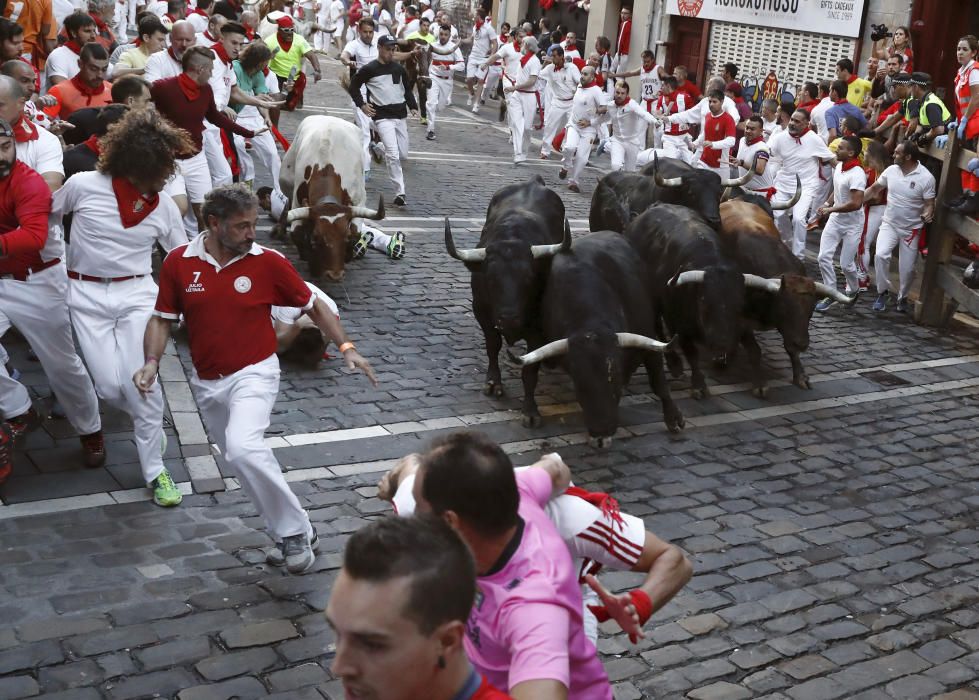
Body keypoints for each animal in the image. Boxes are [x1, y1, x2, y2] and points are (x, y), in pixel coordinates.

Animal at [282, 115, 384, 282]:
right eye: (316, 237)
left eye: (345, 237)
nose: (335, 274)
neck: (327, 167)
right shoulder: (298, 202)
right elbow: (297, 234)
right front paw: (312, 262)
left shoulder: (359, 201)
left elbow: (356, 233)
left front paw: (347, 256)